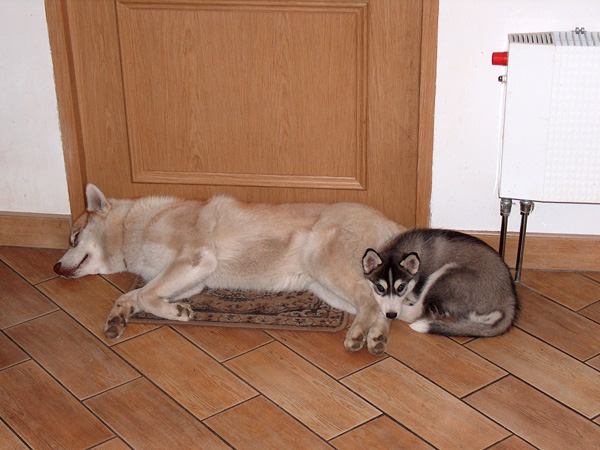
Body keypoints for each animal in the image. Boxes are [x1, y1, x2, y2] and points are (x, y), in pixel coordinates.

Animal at [54, 184, 403, 355]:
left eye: (74, 238)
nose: (56, 267)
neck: (134, 226)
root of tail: (393, 225)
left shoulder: (195, 259)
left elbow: (144, 296)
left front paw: (177, 313)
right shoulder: (190, 279)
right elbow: (133, 295)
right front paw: (118, 317)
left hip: (324, 263)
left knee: (371, 304)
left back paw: (358, 335)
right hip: (326, 288)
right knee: (382, 309)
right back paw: (375, 338)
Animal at [362, 228, 518, 337]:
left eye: (401, 287)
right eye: (380, 287)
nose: (391, 315)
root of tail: (509, 299)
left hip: (446, 273)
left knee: (417, 312)